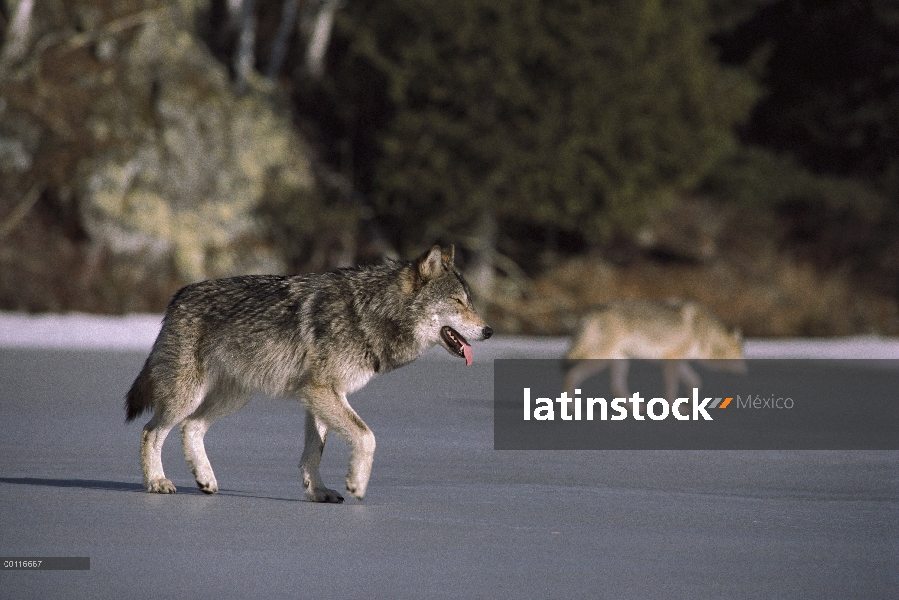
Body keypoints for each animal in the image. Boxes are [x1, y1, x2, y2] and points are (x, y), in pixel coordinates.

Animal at [125, 244, 492, 502]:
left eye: (470, 301)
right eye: (458, 302)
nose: (489, 331)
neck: (367, 314)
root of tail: (177, 297)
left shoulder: (321, 397)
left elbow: (315, 452)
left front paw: (318, 492)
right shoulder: (322, 392)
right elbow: (367, 436)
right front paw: (357, 484)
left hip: (235, 397)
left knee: (191, 427)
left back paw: (206, 480)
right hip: (189, 395)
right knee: (151, 431)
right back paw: (157, 482)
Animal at [568, 298, 748, 410]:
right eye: (740, 356)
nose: (745, 372)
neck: (705, 334)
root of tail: (591, 312)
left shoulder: (679, 360)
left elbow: (696, 381)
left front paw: (691, 401)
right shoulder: (672, 359)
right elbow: (672, 387)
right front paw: (674, 408)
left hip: (621, 361)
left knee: (616, 388)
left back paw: (638, 409)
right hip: (600, 360)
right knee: (572, 375)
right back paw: (570, 407)